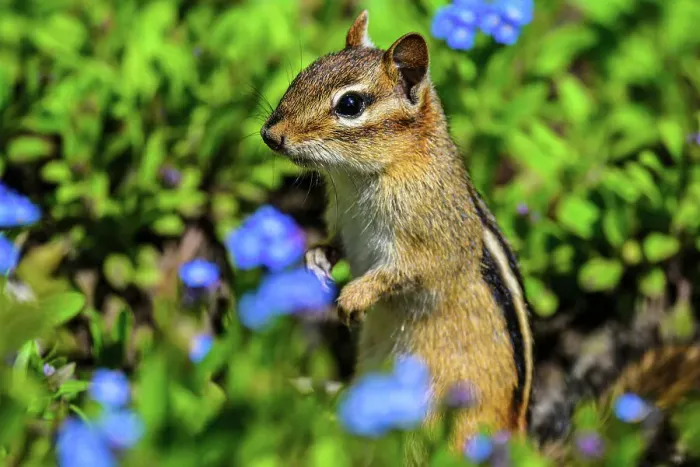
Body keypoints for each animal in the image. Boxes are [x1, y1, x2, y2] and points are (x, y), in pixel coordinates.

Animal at [260, 10, 700, 464]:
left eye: (350, 105)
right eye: (303, 74)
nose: (269, 135)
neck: (361, 178)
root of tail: (518, 442)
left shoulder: (431, 240)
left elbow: (405, 271)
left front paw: (353, 298)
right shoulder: (344, 223)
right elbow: (337, 245)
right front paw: (315, 259)